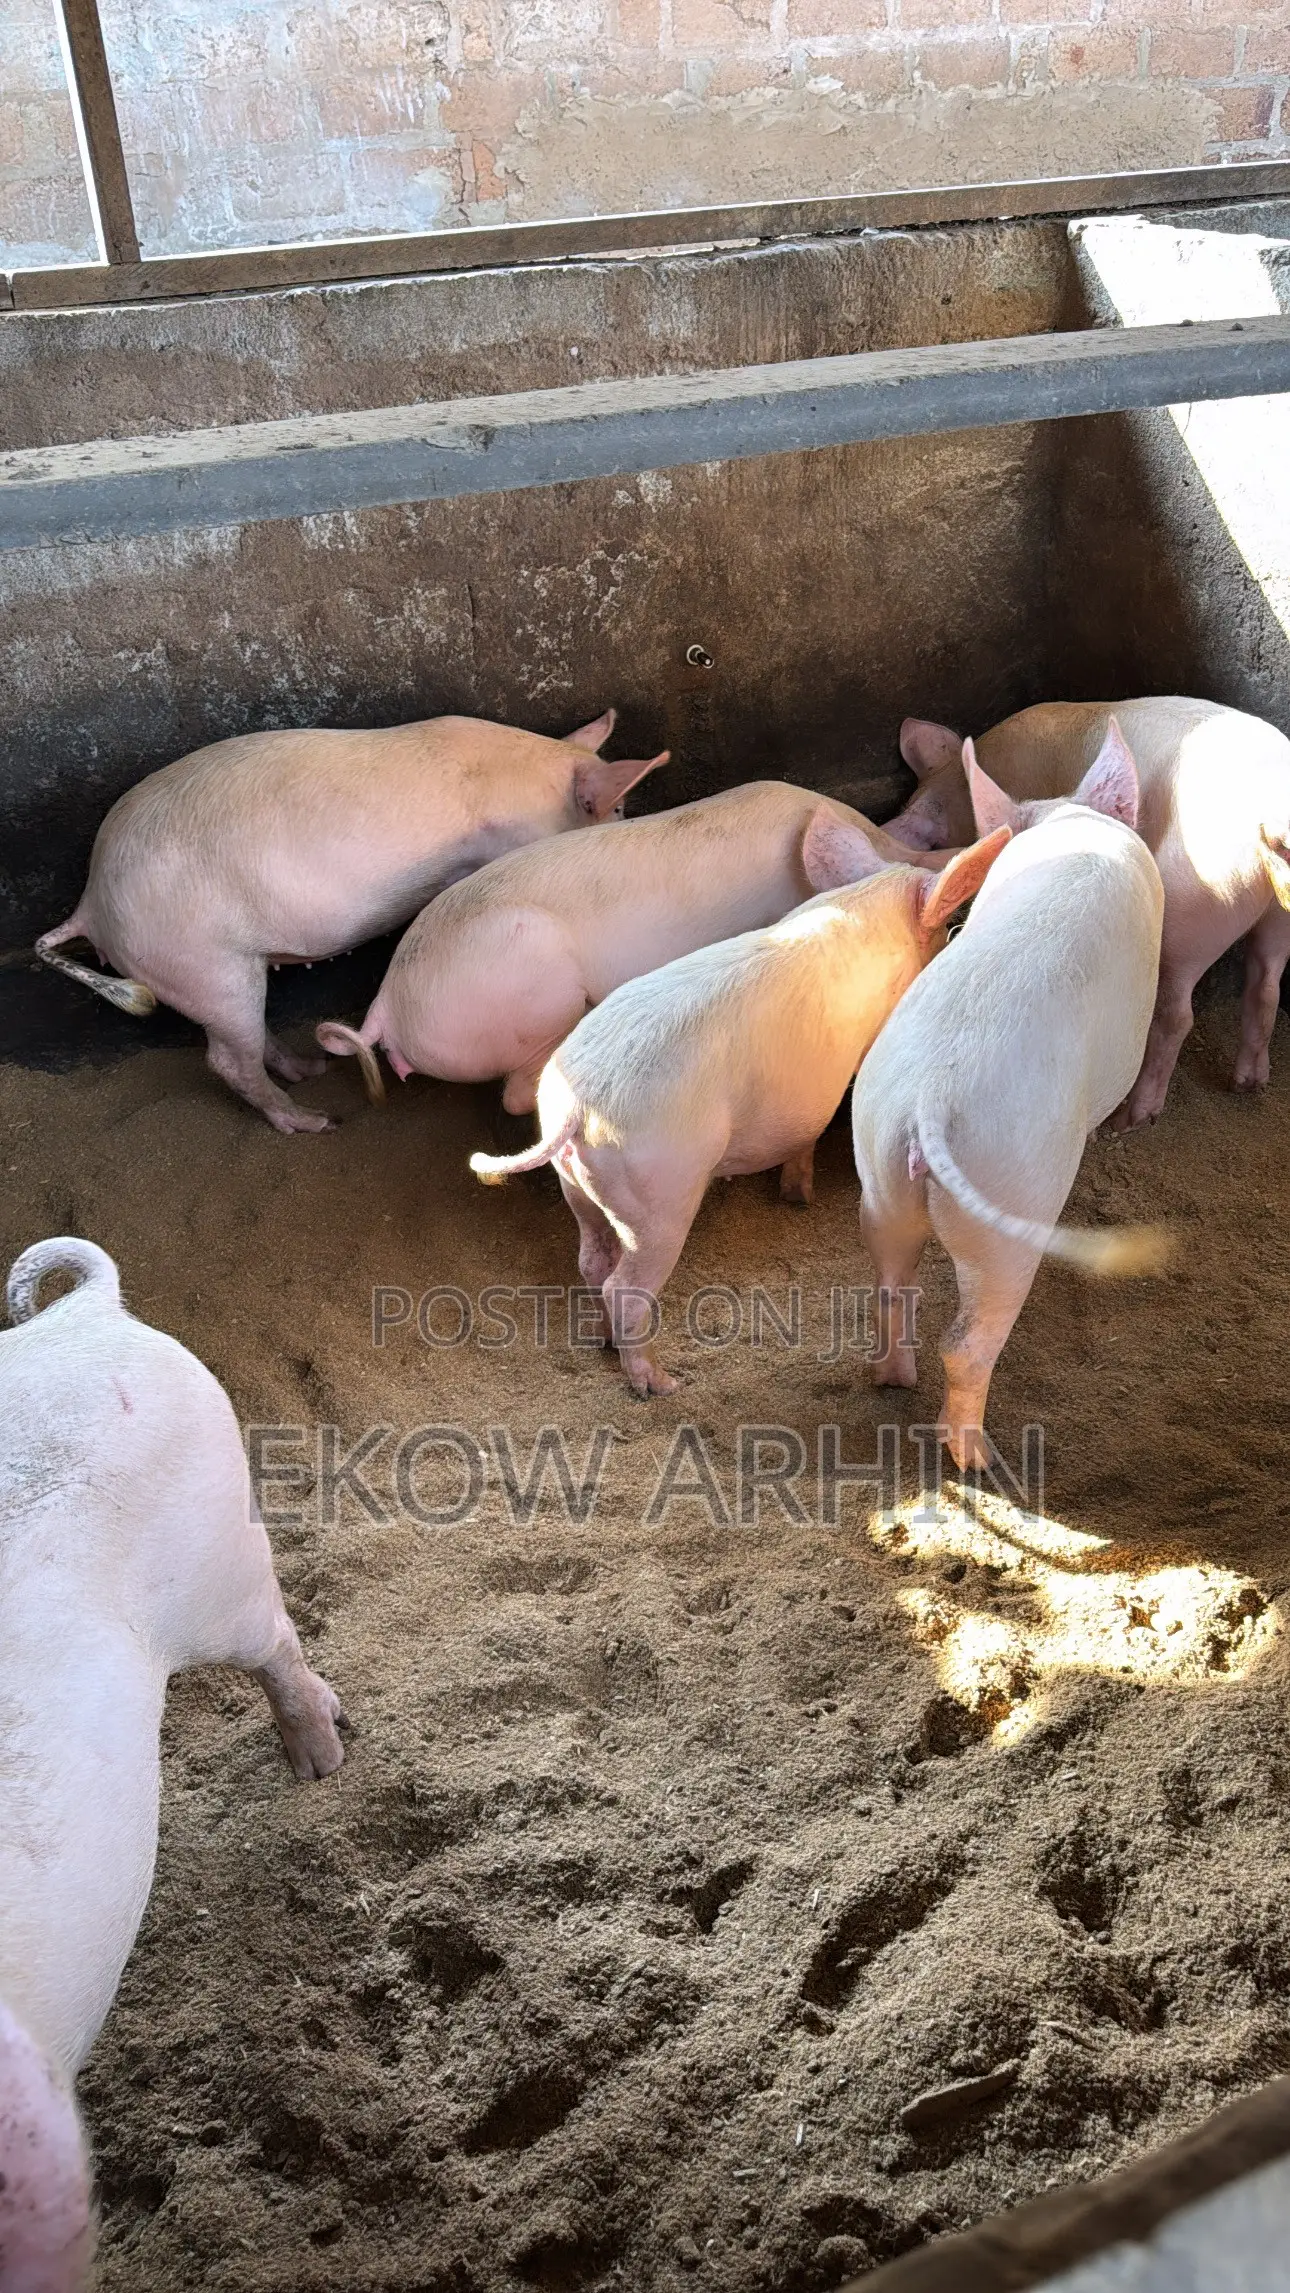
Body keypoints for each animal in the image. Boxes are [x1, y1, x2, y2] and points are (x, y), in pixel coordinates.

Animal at [35, 710, 665, 1134]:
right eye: (616, 808)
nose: (628, 823)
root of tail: (91, 901)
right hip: (200, 961)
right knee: (226, 1060)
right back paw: (313, 1121)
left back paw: (308, 1069)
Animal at [466, 820, 1009, 1395]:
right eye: (947, 931)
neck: (870, 909)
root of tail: (576, 1107)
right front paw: (801, 1195)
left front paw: (797, 1196)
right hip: (658, 1198)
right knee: (624, 1286)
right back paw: (659, 1383)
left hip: (579, 1184)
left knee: (592, 1259)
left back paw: (604, 1341)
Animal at [852, 722, 1168, 1471]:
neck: (1068, 818)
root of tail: (927, 1105)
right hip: (1012, 1193)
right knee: (967, 1340)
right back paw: (977, 1457)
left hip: (877, 1169)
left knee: (890, 1287)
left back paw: (891, 1379)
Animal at [892, 696, 1290, 1124]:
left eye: (934, 841)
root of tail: (1267, 821)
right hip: (1277, 915)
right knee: (1266, 984)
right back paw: (1248, 1083)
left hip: (1193, 907)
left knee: (1178, 1014)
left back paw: (1134, 1117)